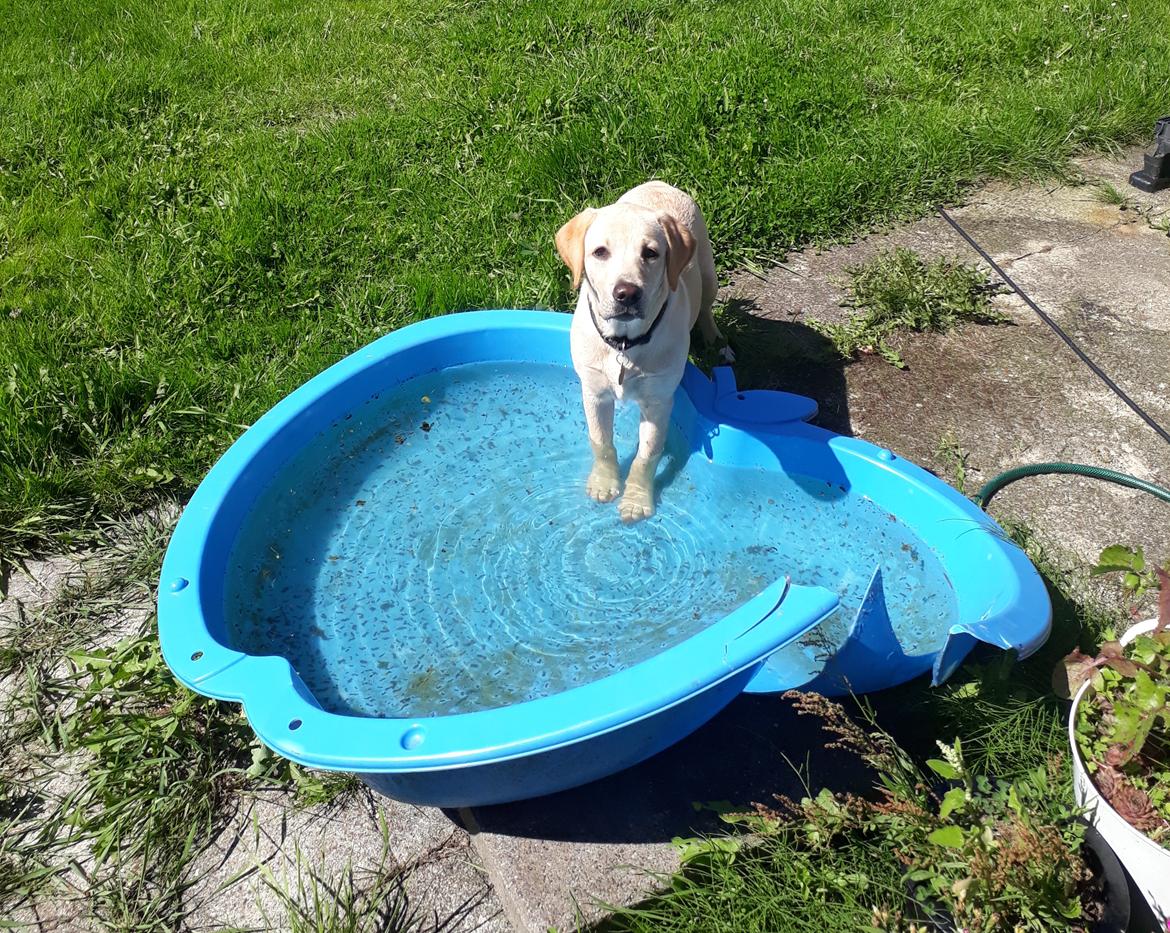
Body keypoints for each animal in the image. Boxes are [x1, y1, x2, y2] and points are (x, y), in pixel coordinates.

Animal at [554, 177, 720, 519]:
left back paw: (715, 340)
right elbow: (601, 442)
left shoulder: (659, 402)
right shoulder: (594, 392)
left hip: (708, 271)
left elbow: (648, 455)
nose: (627, 293)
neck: (624, 344)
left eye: (651, 253)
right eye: (600, 252)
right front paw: (604, 482)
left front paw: (636, 499)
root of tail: (661, 183)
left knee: (706, 307)